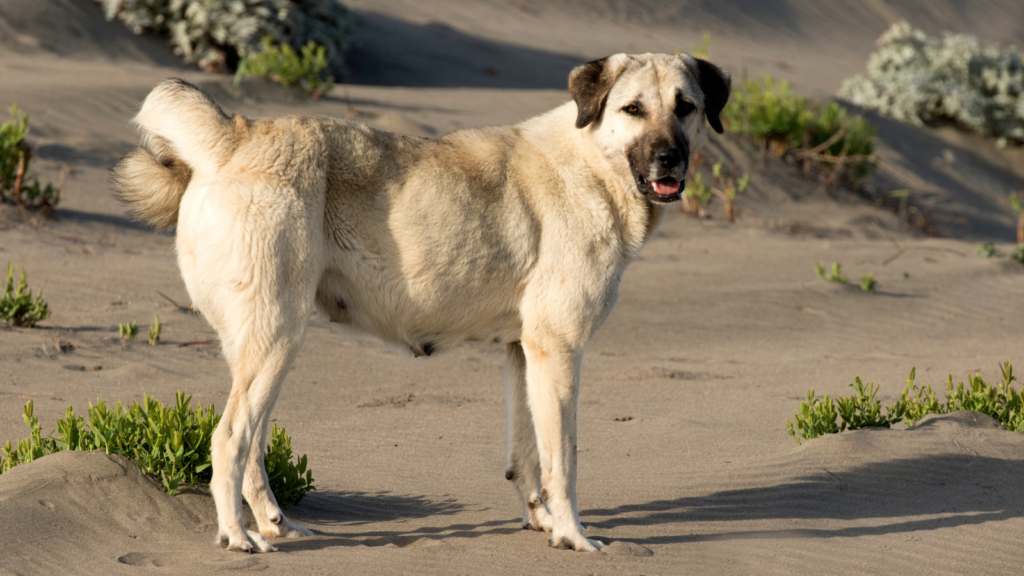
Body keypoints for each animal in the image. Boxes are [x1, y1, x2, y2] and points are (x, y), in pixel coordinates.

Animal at [114, 53, 729, 553]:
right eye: (632, 109)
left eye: (686, 108)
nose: (669, 159)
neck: (593, 162)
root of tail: (236, 135)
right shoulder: (560, 351)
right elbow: (565, 461)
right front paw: (574, 536)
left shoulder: (524, 353)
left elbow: (528, 456)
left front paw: (545, 525)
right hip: (277, 338)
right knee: (229, 440)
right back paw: (238, 537)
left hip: (264, 347)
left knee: (253, 446)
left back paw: (274, 524)